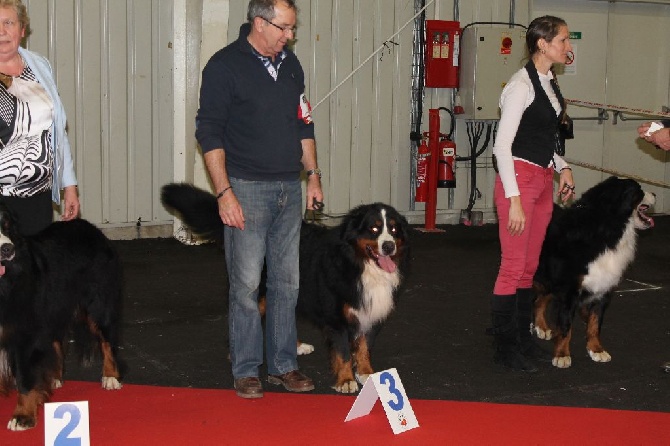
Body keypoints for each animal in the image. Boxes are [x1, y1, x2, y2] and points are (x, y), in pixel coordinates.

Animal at [162, 183, 412, 392]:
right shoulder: (337, 316)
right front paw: (346, 381)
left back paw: (298, 347)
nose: (388, 246)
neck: (358, 264)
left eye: (394, 230)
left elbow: (364, 346)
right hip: (257, 290)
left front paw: (367, 373)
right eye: (373, 229)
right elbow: (342, 352)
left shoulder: (371, 311)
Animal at [536, 176, 656, 368]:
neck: (608, 229)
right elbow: (565, 325)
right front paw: (562, 354)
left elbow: (595, 323)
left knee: (540, 300)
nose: (654, 193)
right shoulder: (569, 290)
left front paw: (596, 349)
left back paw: (543, 326)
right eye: (638, 190)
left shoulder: (603, 288)